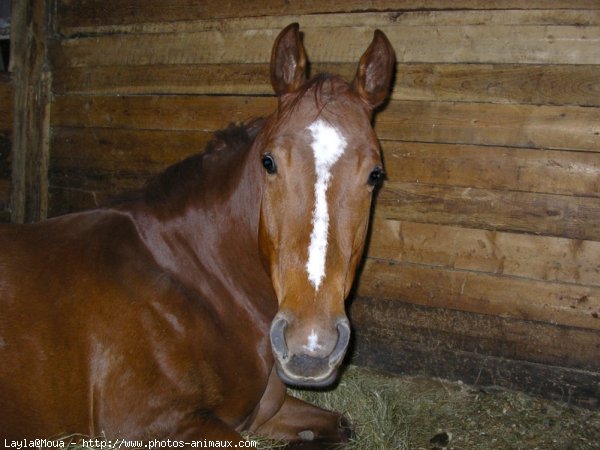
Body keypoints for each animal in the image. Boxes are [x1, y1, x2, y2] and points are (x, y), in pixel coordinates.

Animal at [0, 22, 396, 444]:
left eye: (375, 174)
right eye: (268, 162)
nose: (310, 347)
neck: (195, 280)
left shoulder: (265, 414)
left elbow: (341, 426)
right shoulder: (152, 423)